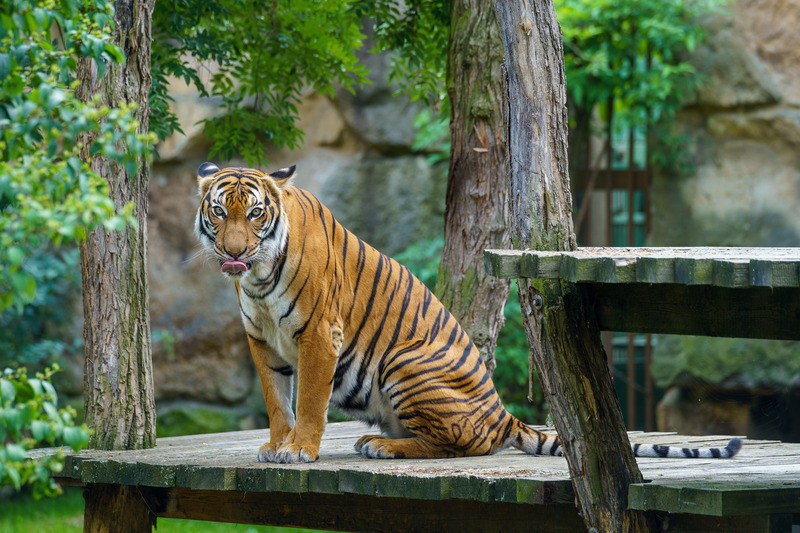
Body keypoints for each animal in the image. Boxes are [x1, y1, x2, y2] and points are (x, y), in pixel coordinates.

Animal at [194, 161, 744, 462]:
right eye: (220, 212)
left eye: (256, 213)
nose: (235, 252)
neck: (257, 280)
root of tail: (503, 414)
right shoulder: (262, 341)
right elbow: (277, 400)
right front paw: (276, 444)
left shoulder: (318, 335)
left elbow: (308, 400)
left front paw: (299, 450)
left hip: (405, 362)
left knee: (458, 442)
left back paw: (381, 447)